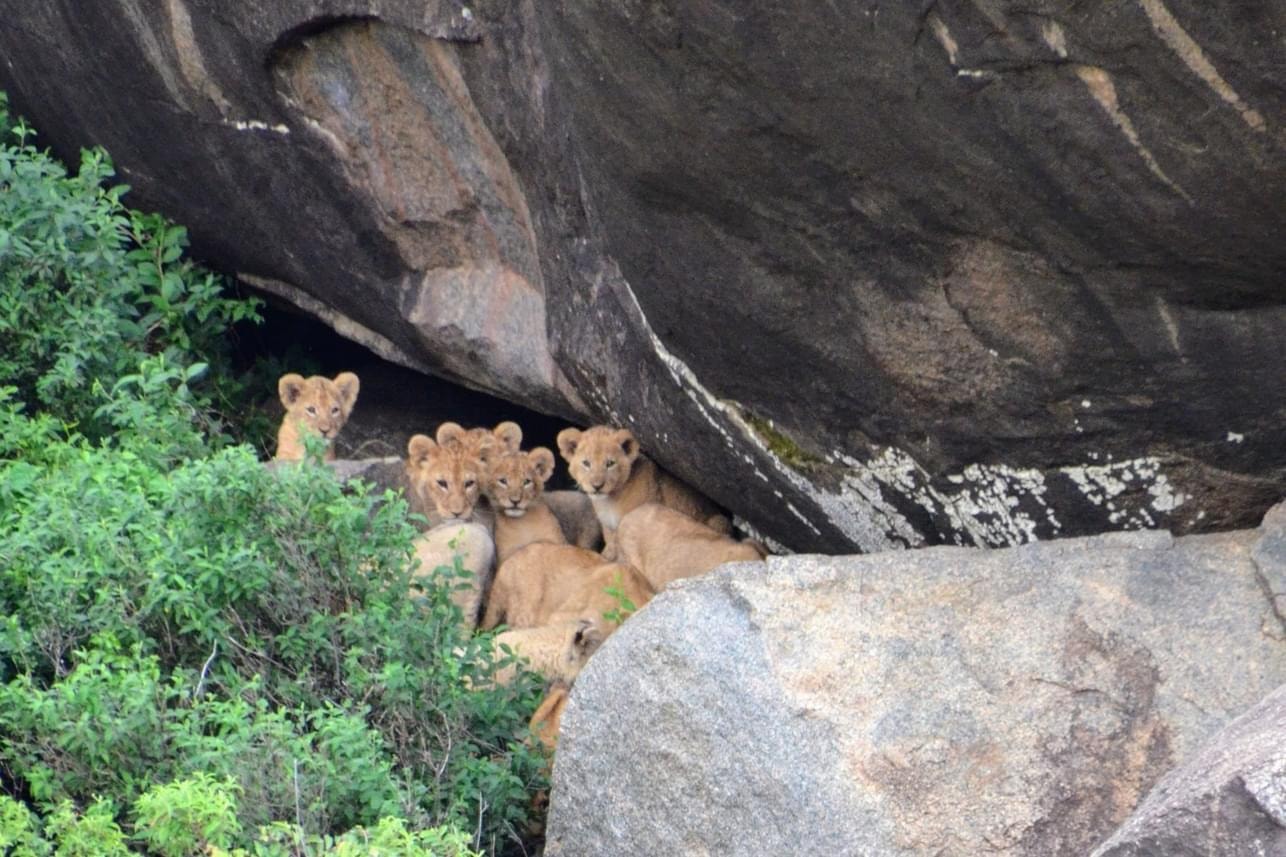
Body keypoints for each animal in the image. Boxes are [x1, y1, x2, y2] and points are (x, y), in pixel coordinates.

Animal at [556, 425, 729, 560]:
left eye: (610, 463)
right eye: (586, 463)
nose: (597, 486)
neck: (609, 501)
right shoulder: (608, 528)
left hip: (719, 521)